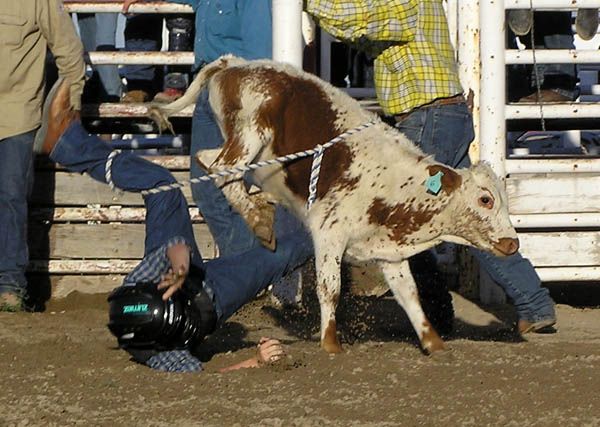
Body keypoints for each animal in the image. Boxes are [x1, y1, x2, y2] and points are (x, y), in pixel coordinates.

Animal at [151, 55, 520, 354]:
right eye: (485, 199)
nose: (513, 243)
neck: (395, 182)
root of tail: (235, 64)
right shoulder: (329, 233)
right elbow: (330, 289)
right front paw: (331, 343)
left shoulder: (389, 251)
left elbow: (409, 295)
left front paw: (434, 343)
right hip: (249, 135)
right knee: (221, 166)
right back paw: (259, 218)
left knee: (207, 159)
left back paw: (260, 209)